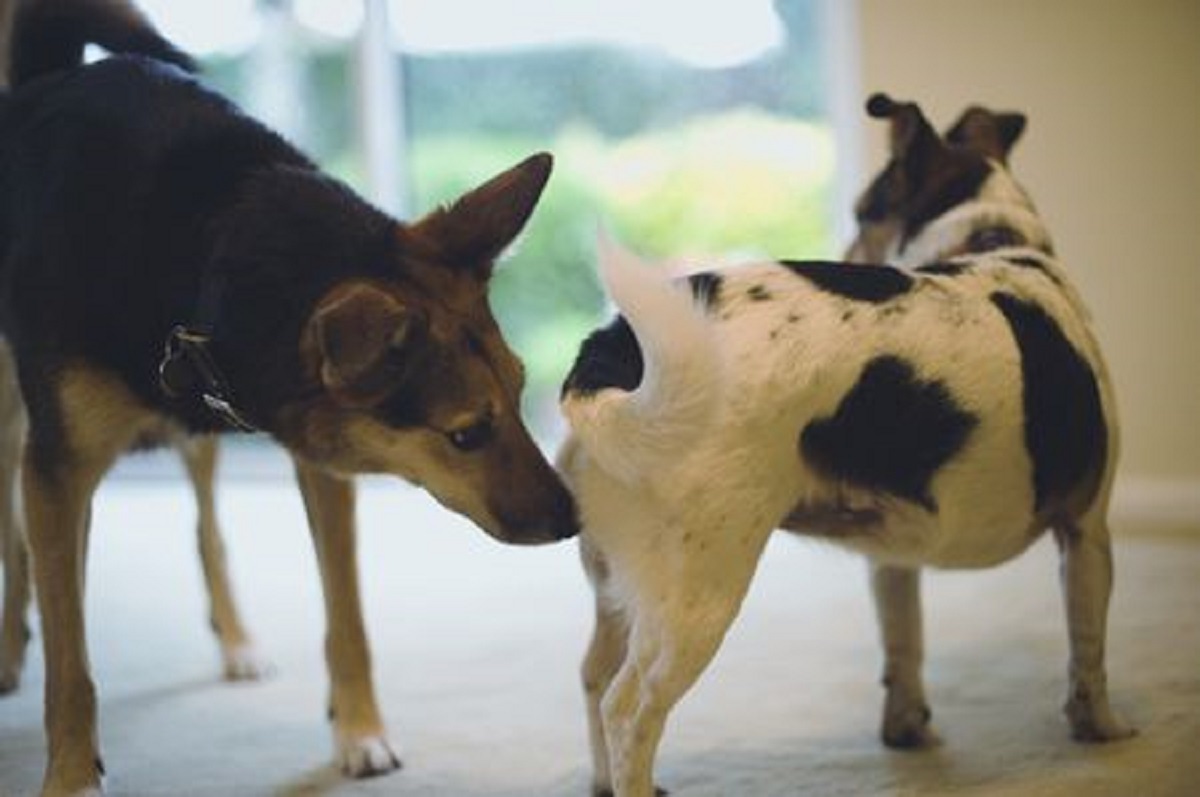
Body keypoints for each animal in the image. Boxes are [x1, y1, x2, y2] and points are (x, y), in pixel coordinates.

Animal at [0, 3, 576, 792]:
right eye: (466, 434)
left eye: (523, 396)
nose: (575, 518)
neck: (205, 248)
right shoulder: (59, 469)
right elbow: (70, 660)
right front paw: (69, 774)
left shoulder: (320, 453)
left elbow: (347, 616)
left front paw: (360, 731)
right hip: (13, 414)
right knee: (16, 528)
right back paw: (9, 648)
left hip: (193, 431)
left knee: (207, 528)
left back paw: (237, 641)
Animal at [556, 93, 1128, 797]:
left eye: (862, 214)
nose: (844, 242)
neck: (997, 245)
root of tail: (616, 350)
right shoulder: (1087, 531)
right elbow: (1088, 651)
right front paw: (1103, 733)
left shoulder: (892, 559)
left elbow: (903, 647)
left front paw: (908, 733)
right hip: (697, 592)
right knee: (629, 707)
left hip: (620, 581)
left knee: (593, 675)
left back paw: (603, 781)